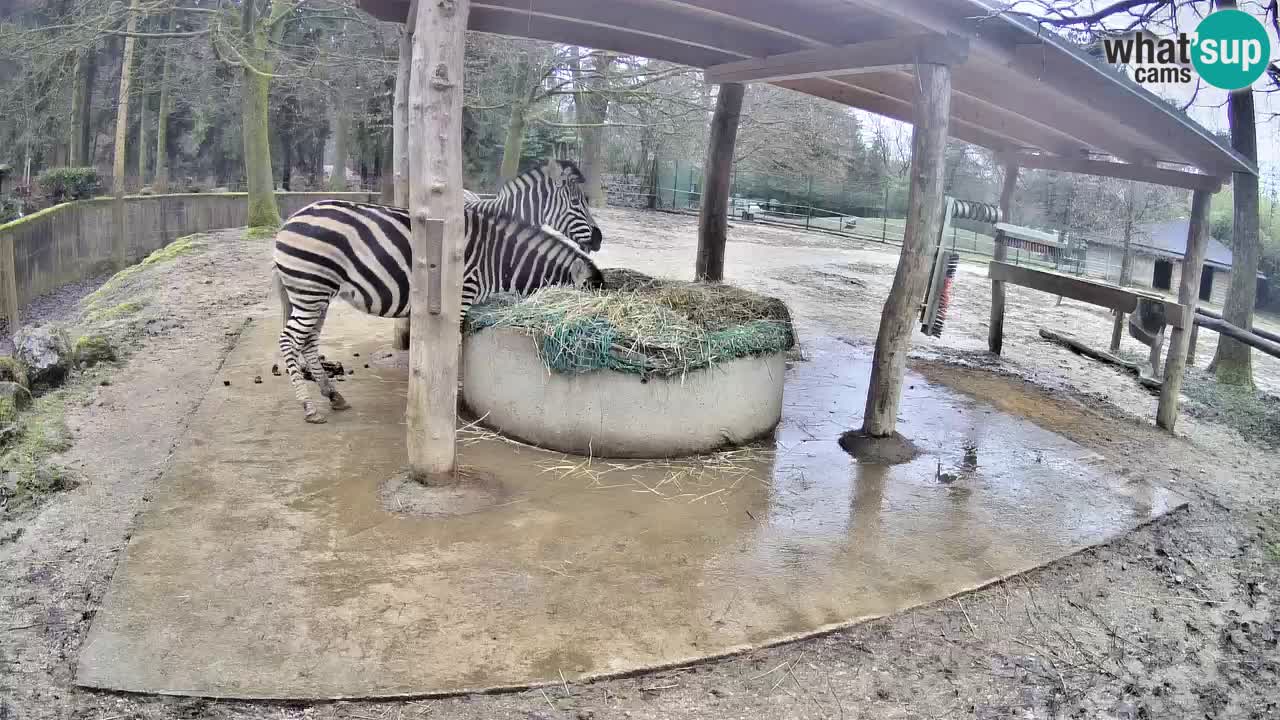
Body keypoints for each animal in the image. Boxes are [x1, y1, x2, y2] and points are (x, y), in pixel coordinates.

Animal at [273, 201, 604, 424]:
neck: (500, 260)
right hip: (311, 288)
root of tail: (289, 221)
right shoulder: (463, 295)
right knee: (289, 341)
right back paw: (309, 408)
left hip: (317, 294)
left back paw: (333, 395)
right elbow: (454, 350)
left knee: (308, 342)